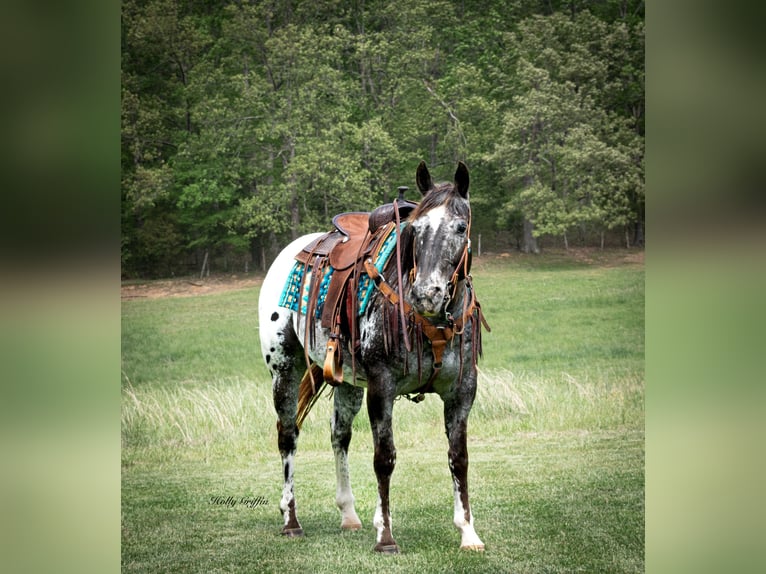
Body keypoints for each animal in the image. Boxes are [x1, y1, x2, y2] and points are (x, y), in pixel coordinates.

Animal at [256, 160, 486, 556]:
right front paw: (385, 537)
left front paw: (468, 533)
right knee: (288, 436)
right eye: (417, 229)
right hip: (284, 369)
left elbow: (459, 459)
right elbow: (385, 458)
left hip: (346, 381)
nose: (426, 294)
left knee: (339, 436)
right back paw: (291, 520)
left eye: (460, 227)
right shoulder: (382, 387)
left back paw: (348, 514)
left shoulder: (461, 393)